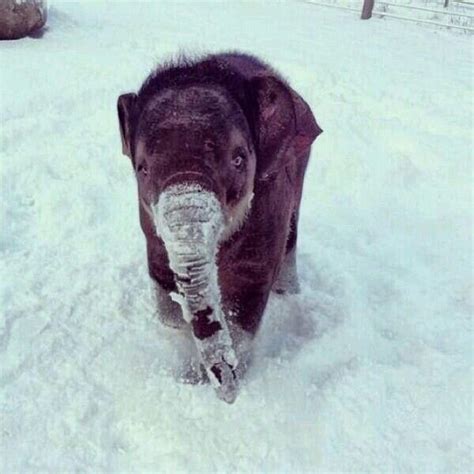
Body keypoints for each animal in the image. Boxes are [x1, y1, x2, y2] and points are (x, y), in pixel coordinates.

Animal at [117, 51, 322, 402]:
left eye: (239, 159)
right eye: (142, 168)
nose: (228, 395)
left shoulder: (270, 204)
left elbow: (246, 296)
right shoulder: (149, 224)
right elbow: (162, 281)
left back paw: (288, 293)